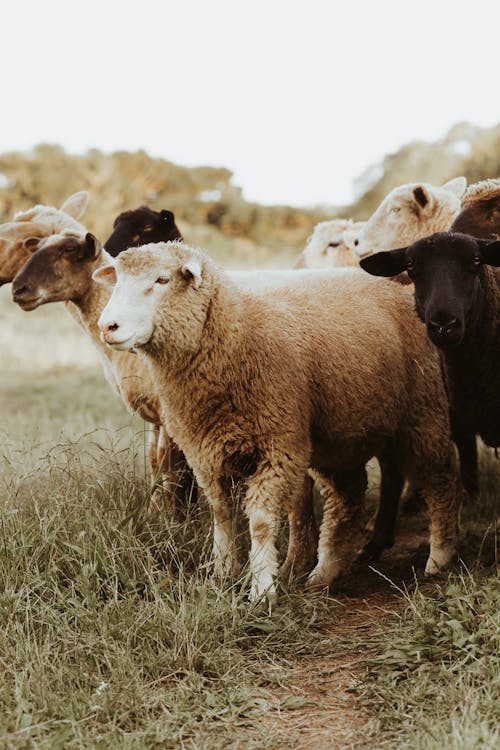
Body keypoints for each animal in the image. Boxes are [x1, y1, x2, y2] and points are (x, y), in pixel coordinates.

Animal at [94, 241, 460, 604]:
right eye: (118, 279)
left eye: (162, 280)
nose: (107, 326)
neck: (237, 331)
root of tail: (392, 287)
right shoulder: (206, 452)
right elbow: (221, 513)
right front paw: (222, 574)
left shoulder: (277, 445)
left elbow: (260, 523)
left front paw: (261, 589)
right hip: (341, 435)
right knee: (346, 498)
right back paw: (324, 573)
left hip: (422, 413)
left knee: (440, 478)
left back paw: (439, 556)